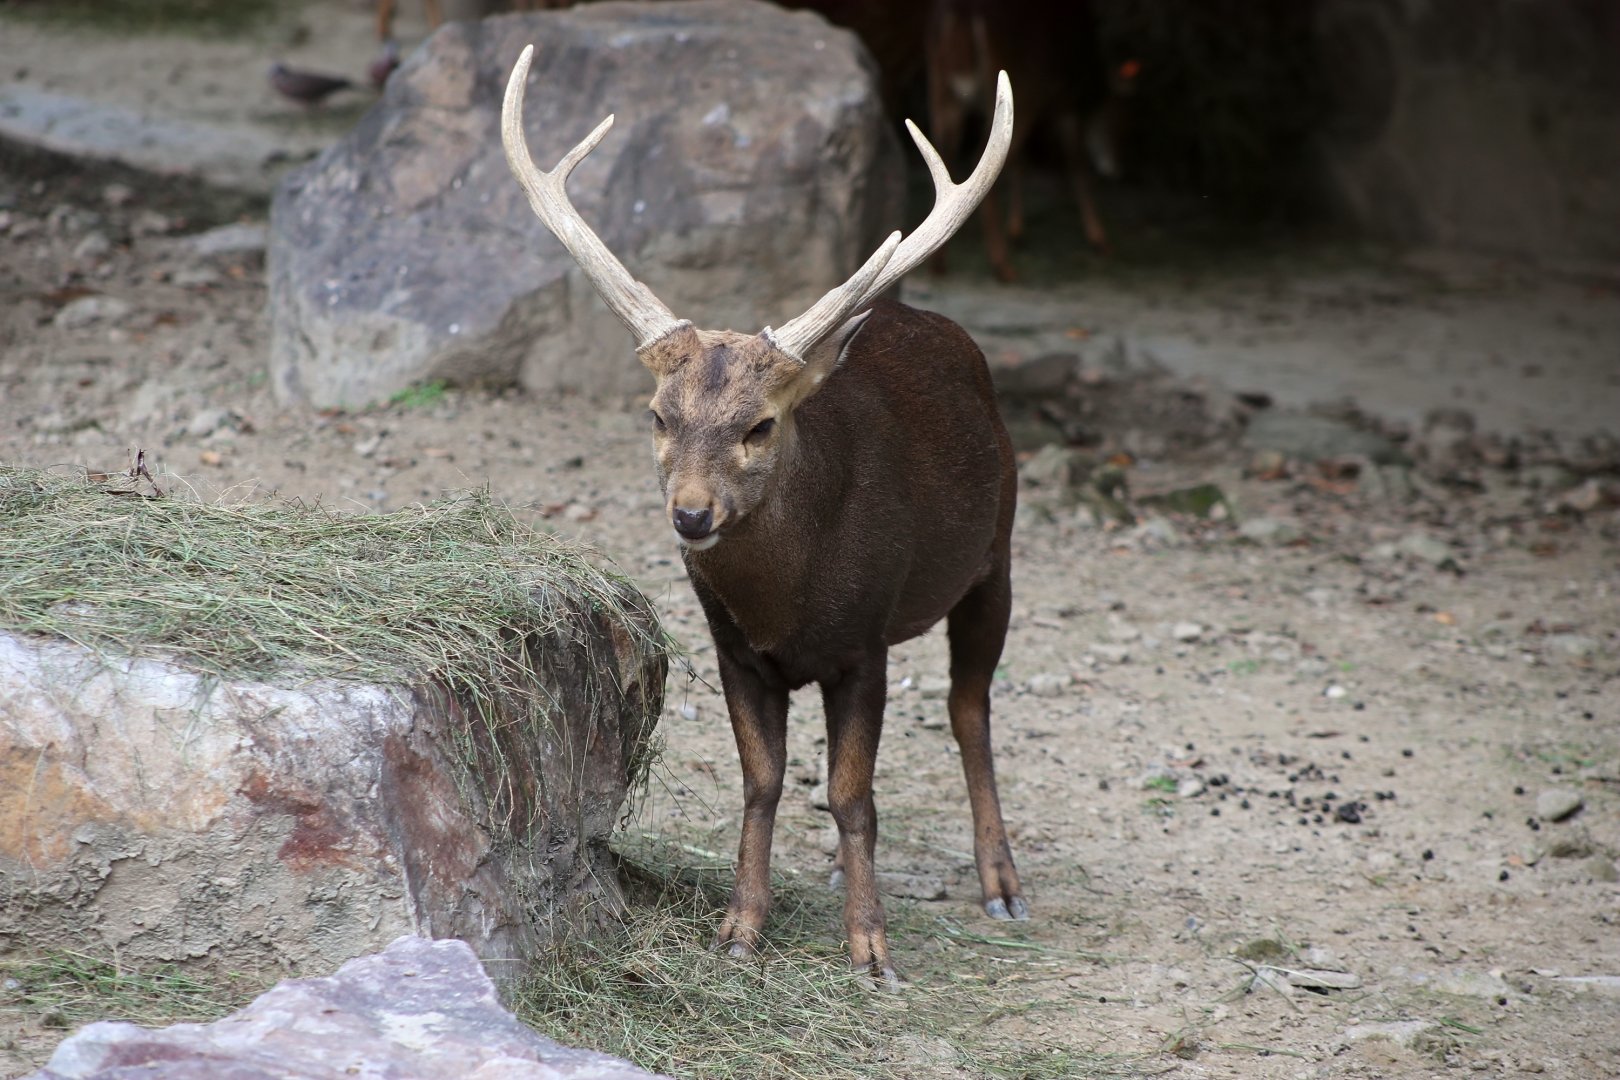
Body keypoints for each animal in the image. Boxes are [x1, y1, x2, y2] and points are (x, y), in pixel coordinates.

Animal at [501, 43, 1025, 985]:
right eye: (657, 415)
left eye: (760, 425)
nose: (692, 514)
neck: (792, 603)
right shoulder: (734, 649)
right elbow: (766, 780)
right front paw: (741, 927)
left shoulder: (864, 642)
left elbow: (853, 794)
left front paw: (870, 947)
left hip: (996, 550)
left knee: (970, 707)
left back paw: (1000, 882)